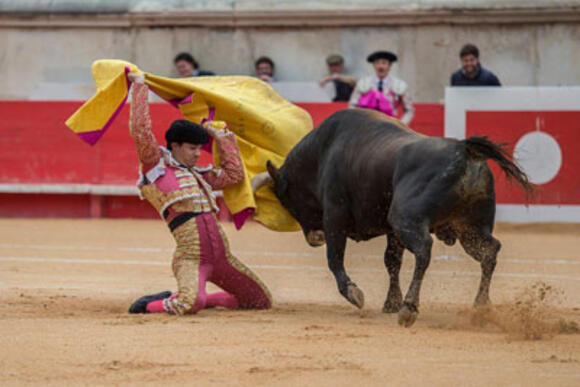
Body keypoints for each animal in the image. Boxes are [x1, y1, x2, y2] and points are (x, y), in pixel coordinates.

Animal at [251, 109, 532, 328]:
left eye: (287, 200)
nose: (314, 238)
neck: (321, 153)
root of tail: (464, 149)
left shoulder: (335, 215)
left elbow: (335, 258)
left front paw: (355, 293)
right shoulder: (391, 231)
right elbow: (391, 261)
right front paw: (390, 302)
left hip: (406, 218)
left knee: (425, 250)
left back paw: (410, 308)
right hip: (470, 228)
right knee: (489, 252)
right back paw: (480, 307)